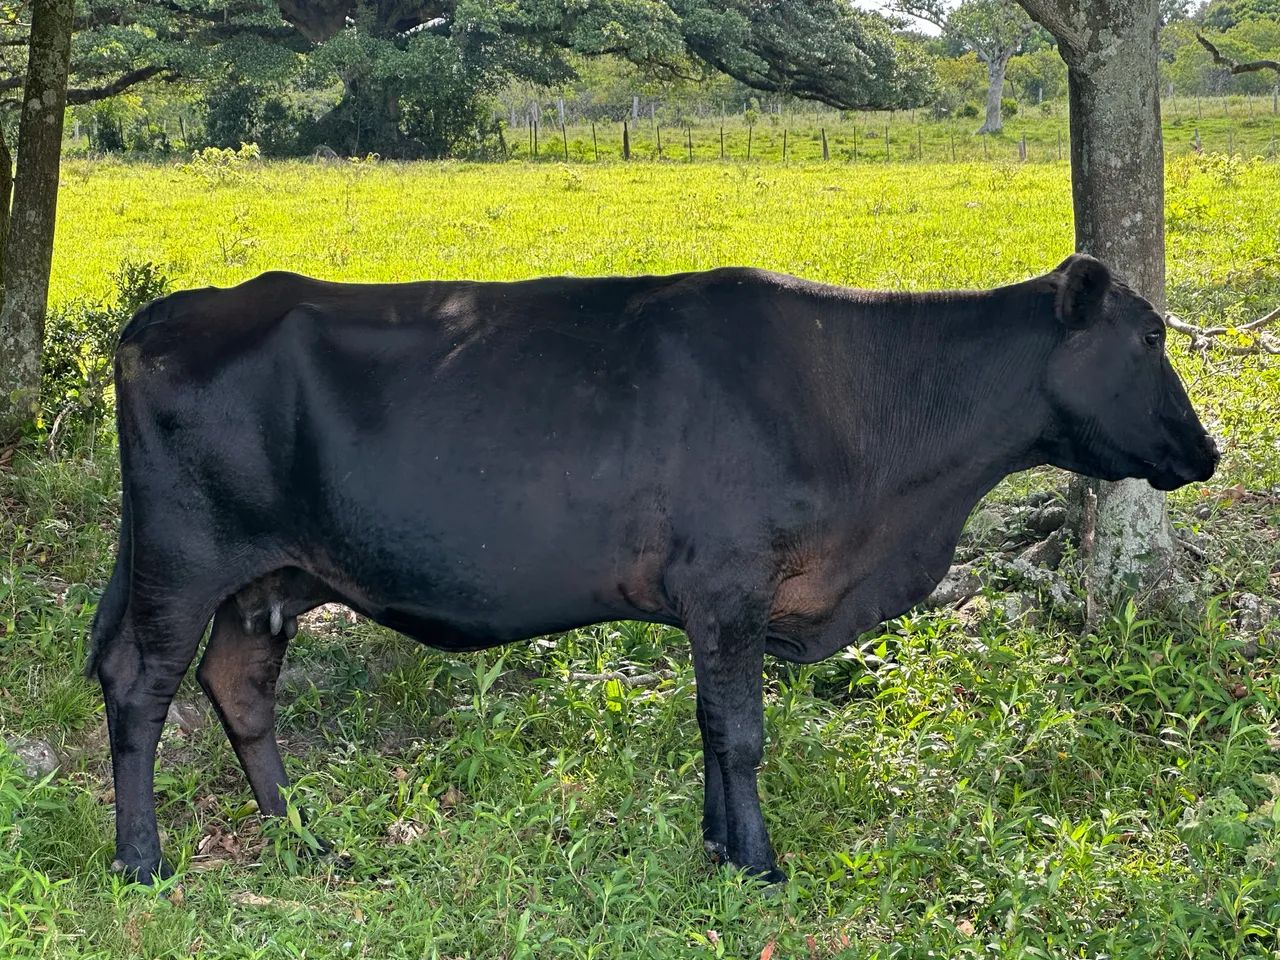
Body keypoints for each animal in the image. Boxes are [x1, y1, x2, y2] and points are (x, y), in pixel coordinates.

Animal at [87, 253, 1218, 884]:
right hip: (184, 559)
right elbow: (744, 733)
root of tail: (170, 313)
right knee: (142, 686)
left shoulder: (718, 604)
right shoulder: (728, 583)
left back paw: (309, 840)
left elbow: (713, 729)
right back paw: (143, 862)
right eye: (1149, 337)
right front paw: (758, 865)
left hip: (264, 577)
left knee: (239, 686)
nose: (1206, 451)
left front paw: (718, 847)